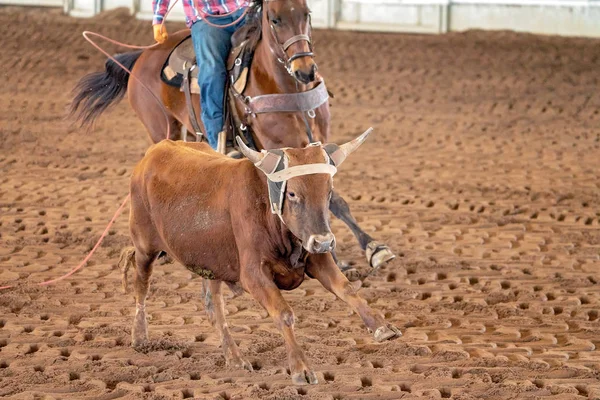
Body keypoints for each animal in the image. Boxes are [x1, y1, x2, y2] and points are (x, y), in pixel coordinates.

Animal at [69, 0, 394, 272]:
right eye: (274, 19)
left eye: (307, 14)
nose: (305, 71)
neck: (284, 86)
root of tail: (143, 55)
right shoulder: (279, 145)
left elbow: (333, 197)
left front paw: (374, 249)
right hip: (161, 127)